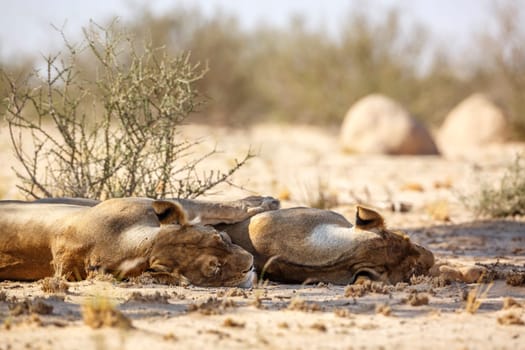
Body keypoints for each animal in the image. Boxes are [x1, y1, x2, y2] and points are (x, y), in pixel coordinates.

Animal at [0, 197, 278, 288]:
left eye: (221, 237)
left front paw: (264, 202)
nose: (250, 264)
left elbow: (216, 206)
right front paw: (265, 202)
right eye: (215, 269)